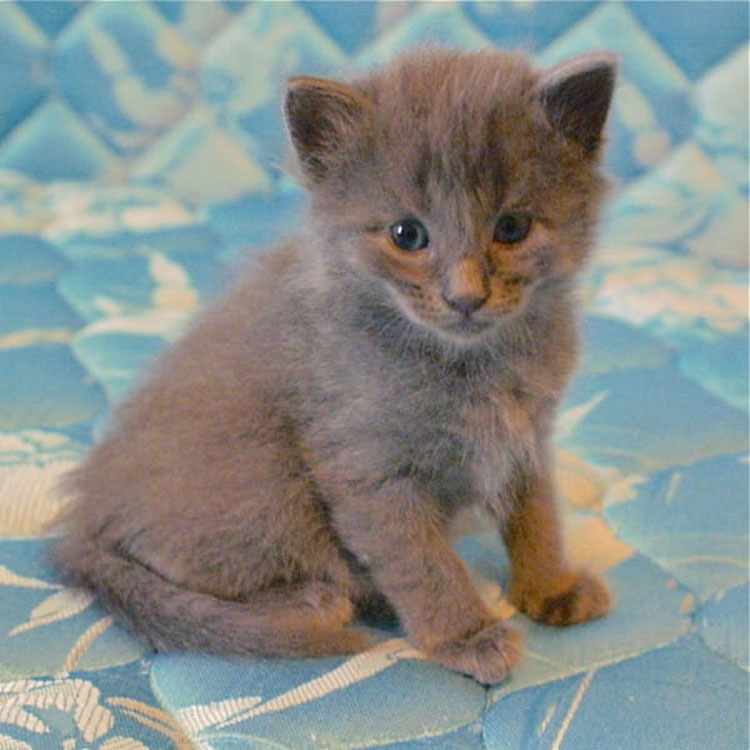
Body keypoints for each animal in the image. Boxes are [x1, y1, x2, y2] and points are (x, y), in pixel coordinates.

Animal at [51, 47, 616, 688]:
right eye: (407, 234)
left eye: (513, 228)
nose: (465, 296)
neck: (472, 364)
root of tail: (84, 518)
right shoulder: (365, 465)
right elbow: (424, 560)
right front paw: (464, 635)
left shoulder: (528, 437)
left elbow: (537, 517)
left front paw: (551, 587)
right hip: (261, 480)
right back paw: (313, 598)